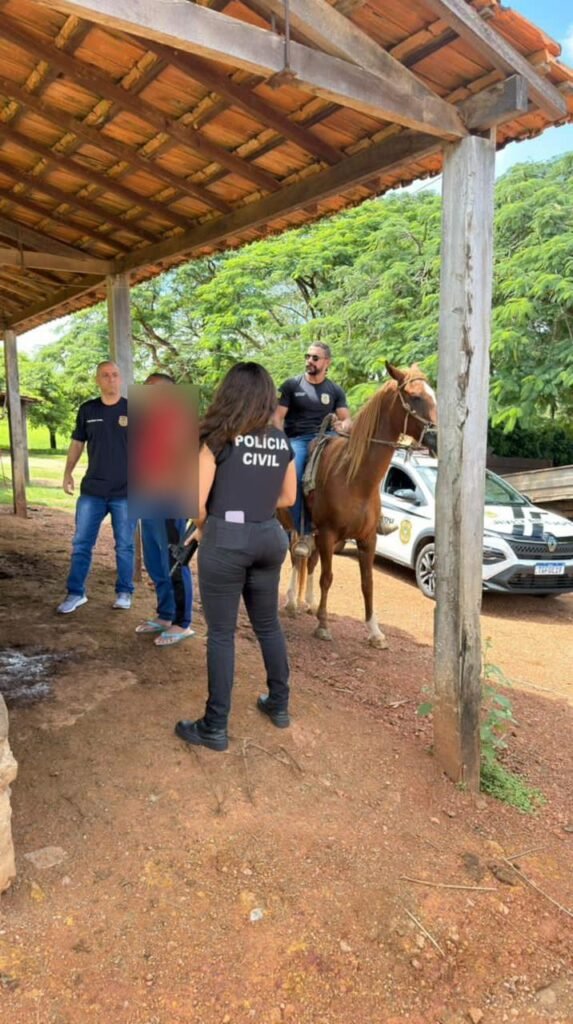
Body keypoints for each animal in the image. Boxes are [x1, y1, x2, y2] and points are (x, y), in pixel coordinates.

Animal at [283, 362, 437, 648]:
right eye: (415, 397)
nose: (436, 438)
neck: (353, 479)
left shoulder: (368, 539)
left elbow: (368, 583)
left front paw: (375, 632)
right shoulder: (328, 534)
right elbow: (327, 578)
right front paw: (323, 625)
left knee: (308, 561)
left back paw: (307, 603)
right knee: (296, 557)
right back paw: (290, 602)